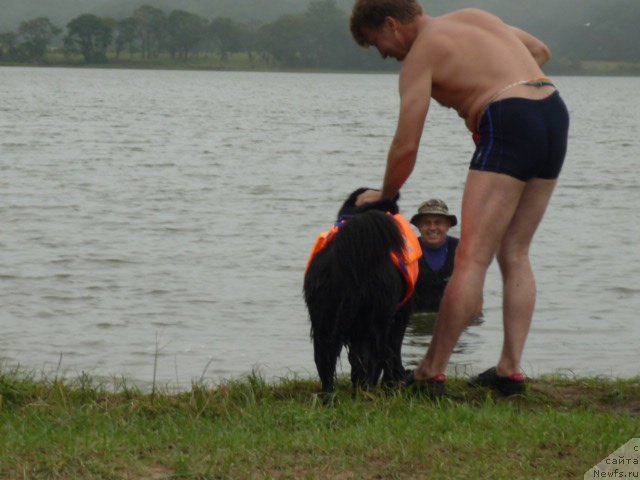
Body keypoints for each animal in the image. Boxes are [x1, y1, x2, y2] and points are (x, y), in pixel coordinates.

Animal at [304, 188, 420, 394]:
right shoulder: (401, 312)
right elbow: (392, 350)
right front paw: (393, 381)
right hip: (378, 316)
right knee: (376, 357)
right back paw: (370, 392)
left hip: (323, 318)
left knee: (324, 361)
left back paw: (330, 395)